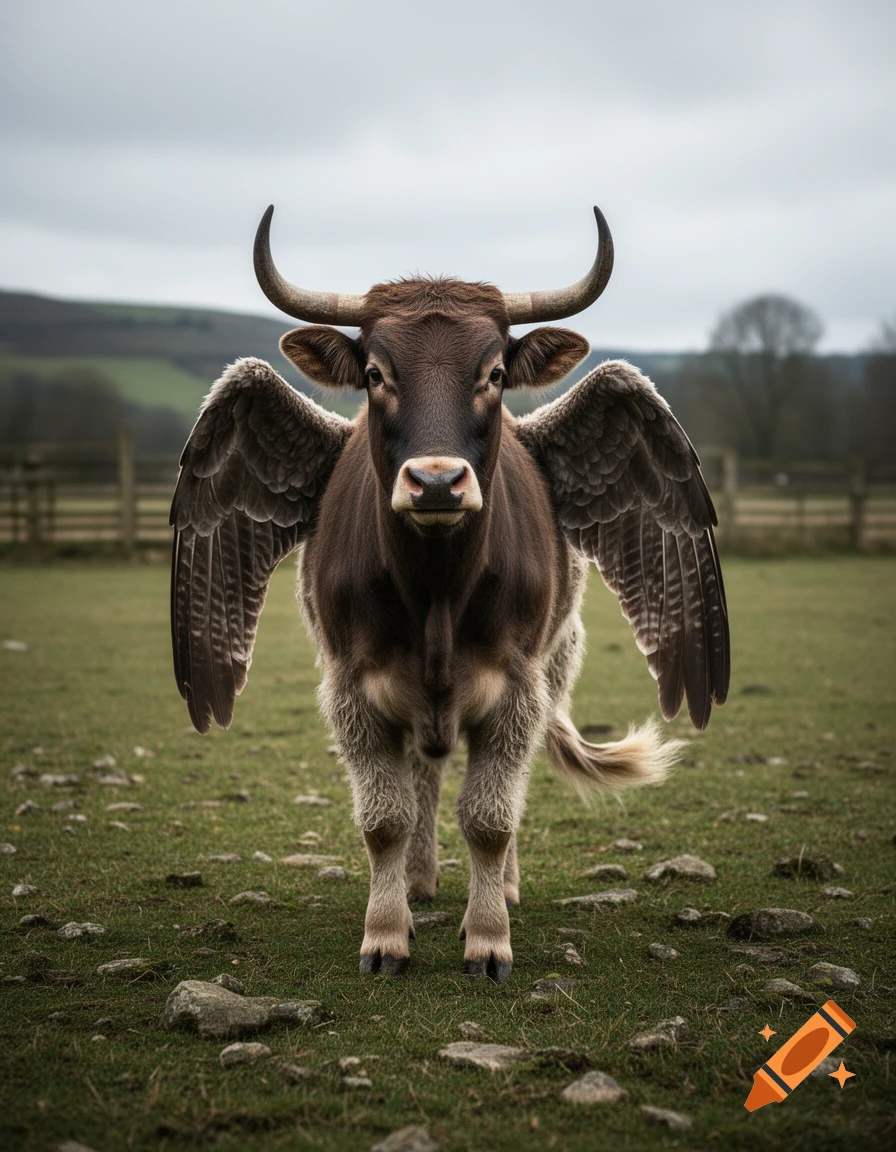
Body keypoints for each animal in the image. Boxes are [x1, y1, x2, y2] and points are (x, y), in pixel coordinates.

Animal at [170, 205, 729, 982]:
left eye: (493, 372)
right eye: (375, 372)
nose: (436, 481)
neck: (435, 590)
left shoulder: (517, 691)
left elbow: (491, 818)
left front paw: (489, 937)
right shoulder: (353, 689)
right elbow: (386, 818)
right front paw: (386, 933)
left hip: (555, 666)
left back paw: (502, 886)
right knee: (422, 781)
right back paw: (418, 881)